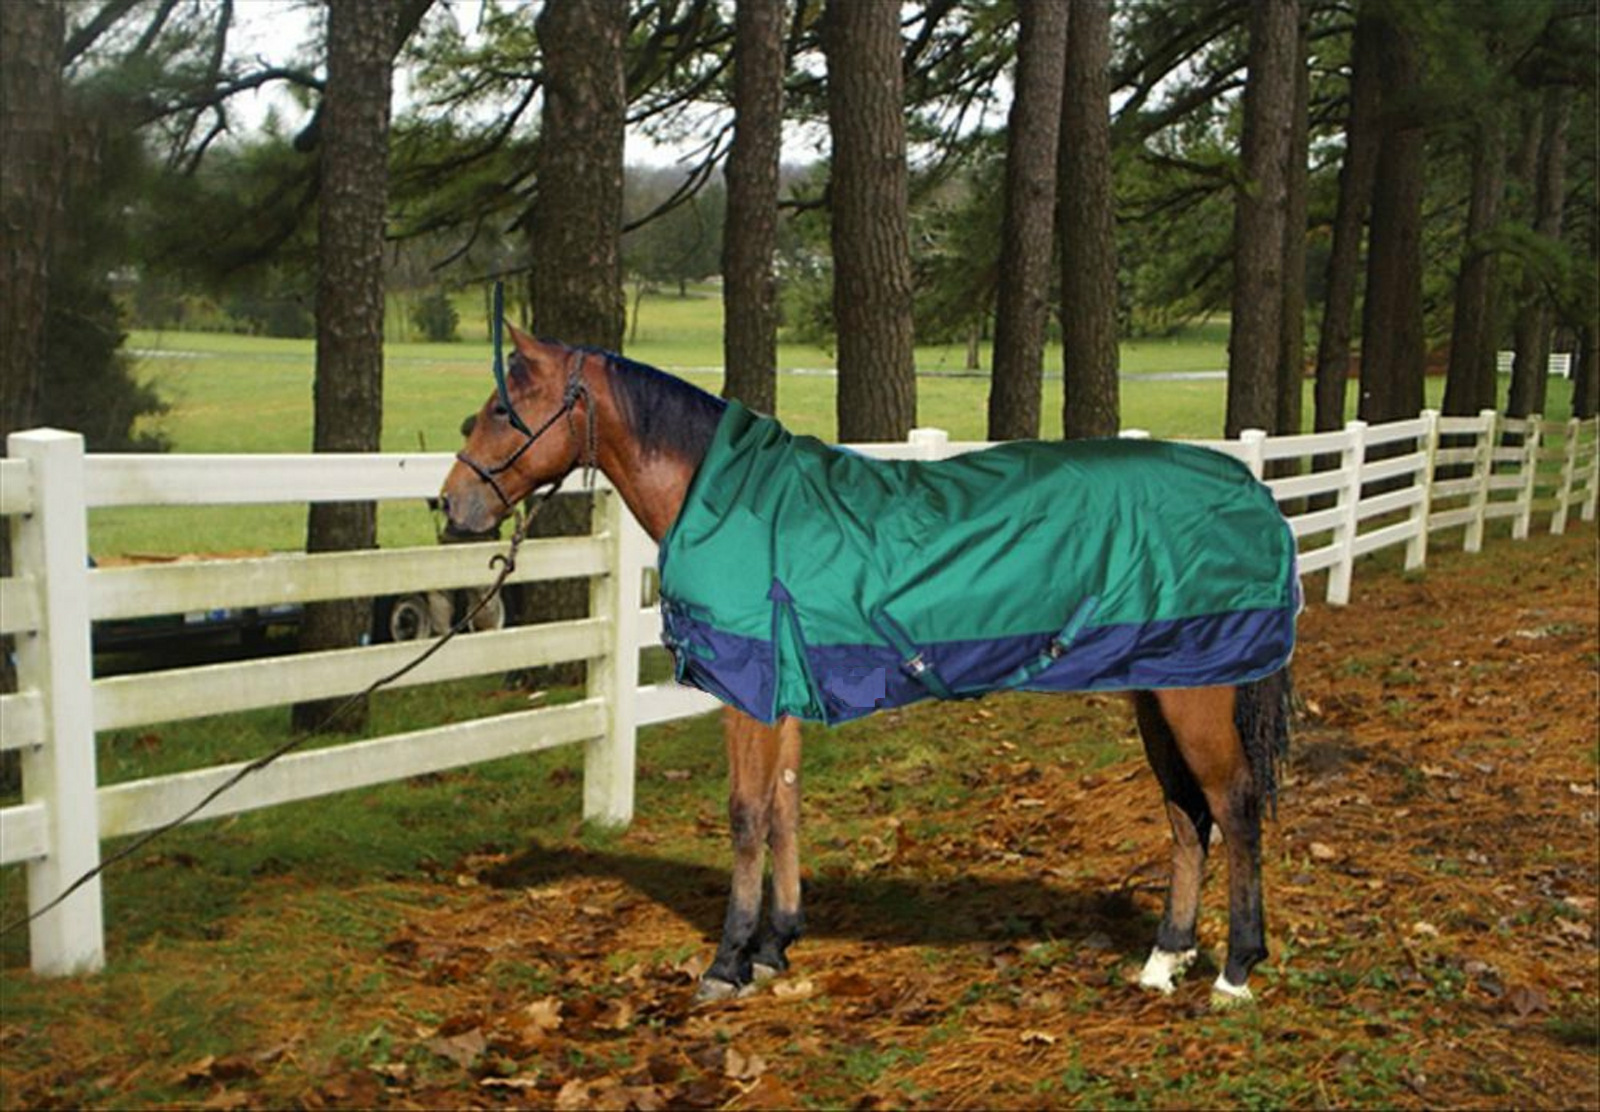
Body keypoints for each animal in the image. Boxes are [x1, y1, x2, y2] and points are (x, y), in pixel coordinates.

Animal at [440, 328, 1296, 1008]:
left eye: (504, 408)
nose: (449, 507)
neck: (735, 506)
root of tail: (1254, 492)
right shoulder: (783, 695)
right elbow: (784, 806)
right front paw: (775, 946)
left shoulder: (746, 693)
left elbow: (746, 816)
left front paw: (727, 962)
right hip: (1159, 688)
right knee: (1186, 814)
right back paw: (1164, 959)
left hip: (1196, 695)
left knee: (1234, 805)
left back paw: (1235, 970)